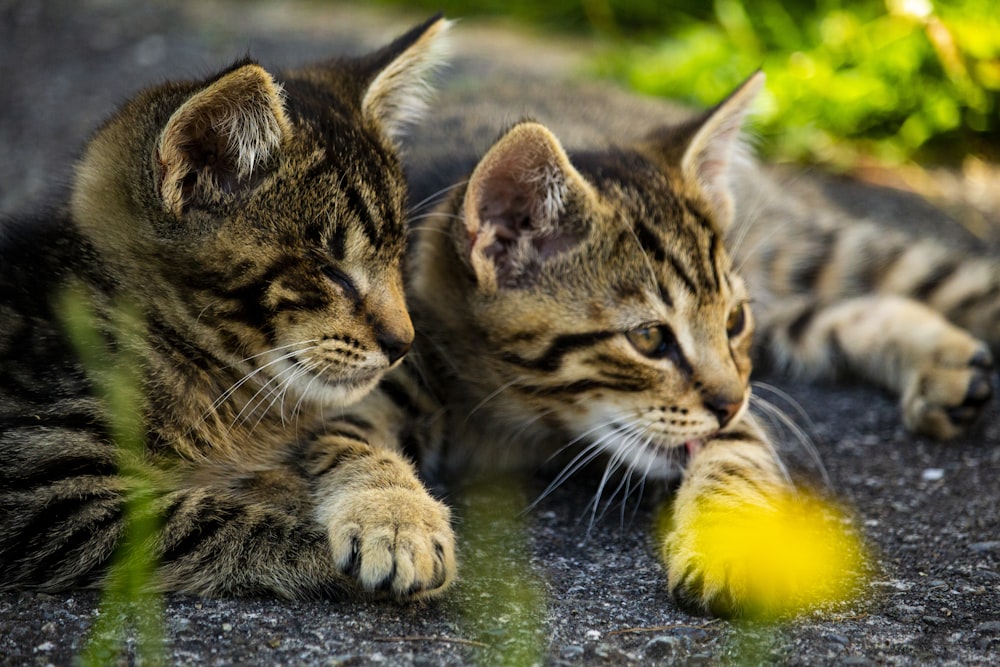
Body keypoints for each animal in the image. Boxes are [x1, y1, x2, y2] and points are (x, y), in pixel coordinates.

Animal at [0, 15, 458, 600]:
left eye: (399, 259)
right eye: (331, 272)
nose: (405, 343)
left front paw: (397, 513)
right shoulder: (41, 486)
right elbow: (216, 525)